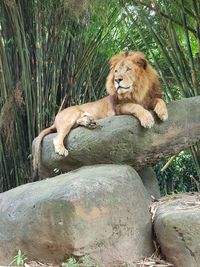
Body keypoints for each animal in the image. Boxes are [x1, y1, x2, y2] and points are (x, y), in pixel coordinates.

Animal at [32, 51, 168, 181]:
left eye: (128, 69)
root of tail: (55, 119)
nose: (117, 80)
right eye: (116, 71)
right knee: (57, 137)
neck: (137, 91)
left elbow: (160, 100)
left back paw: (89, 121)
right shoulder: (119, 107)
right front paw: (147, 119)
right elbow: (135, 107)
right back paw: (62, 149)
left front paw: (163, 113)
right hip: (70, 116)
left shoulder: (149, 99)